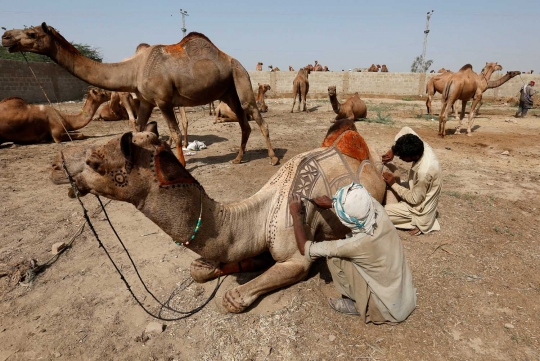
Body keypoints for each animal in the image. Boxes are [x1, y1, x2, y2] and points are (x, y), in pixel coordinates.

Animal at [4, 23, 280, 167]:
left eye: (31, 33)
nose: (6, 36)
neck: (134, 68)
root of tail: (234, 61)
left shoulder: (163, 100)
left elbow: (174, 133)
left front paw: (181, 164)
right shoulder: (146, 101)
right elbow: (138, 127)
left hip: (240, 78)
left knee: (257, 117)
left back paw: (273, 158)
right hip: (227, 90)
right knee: (245, 123)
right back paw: (238, 158)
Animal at [50, 119, 386, 312]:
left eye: (94, 163)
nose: (56, 167)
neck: (259, 214)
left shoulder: (295, 255)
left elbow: (232, 298)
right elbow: (199, 269)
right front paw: (215, 266)